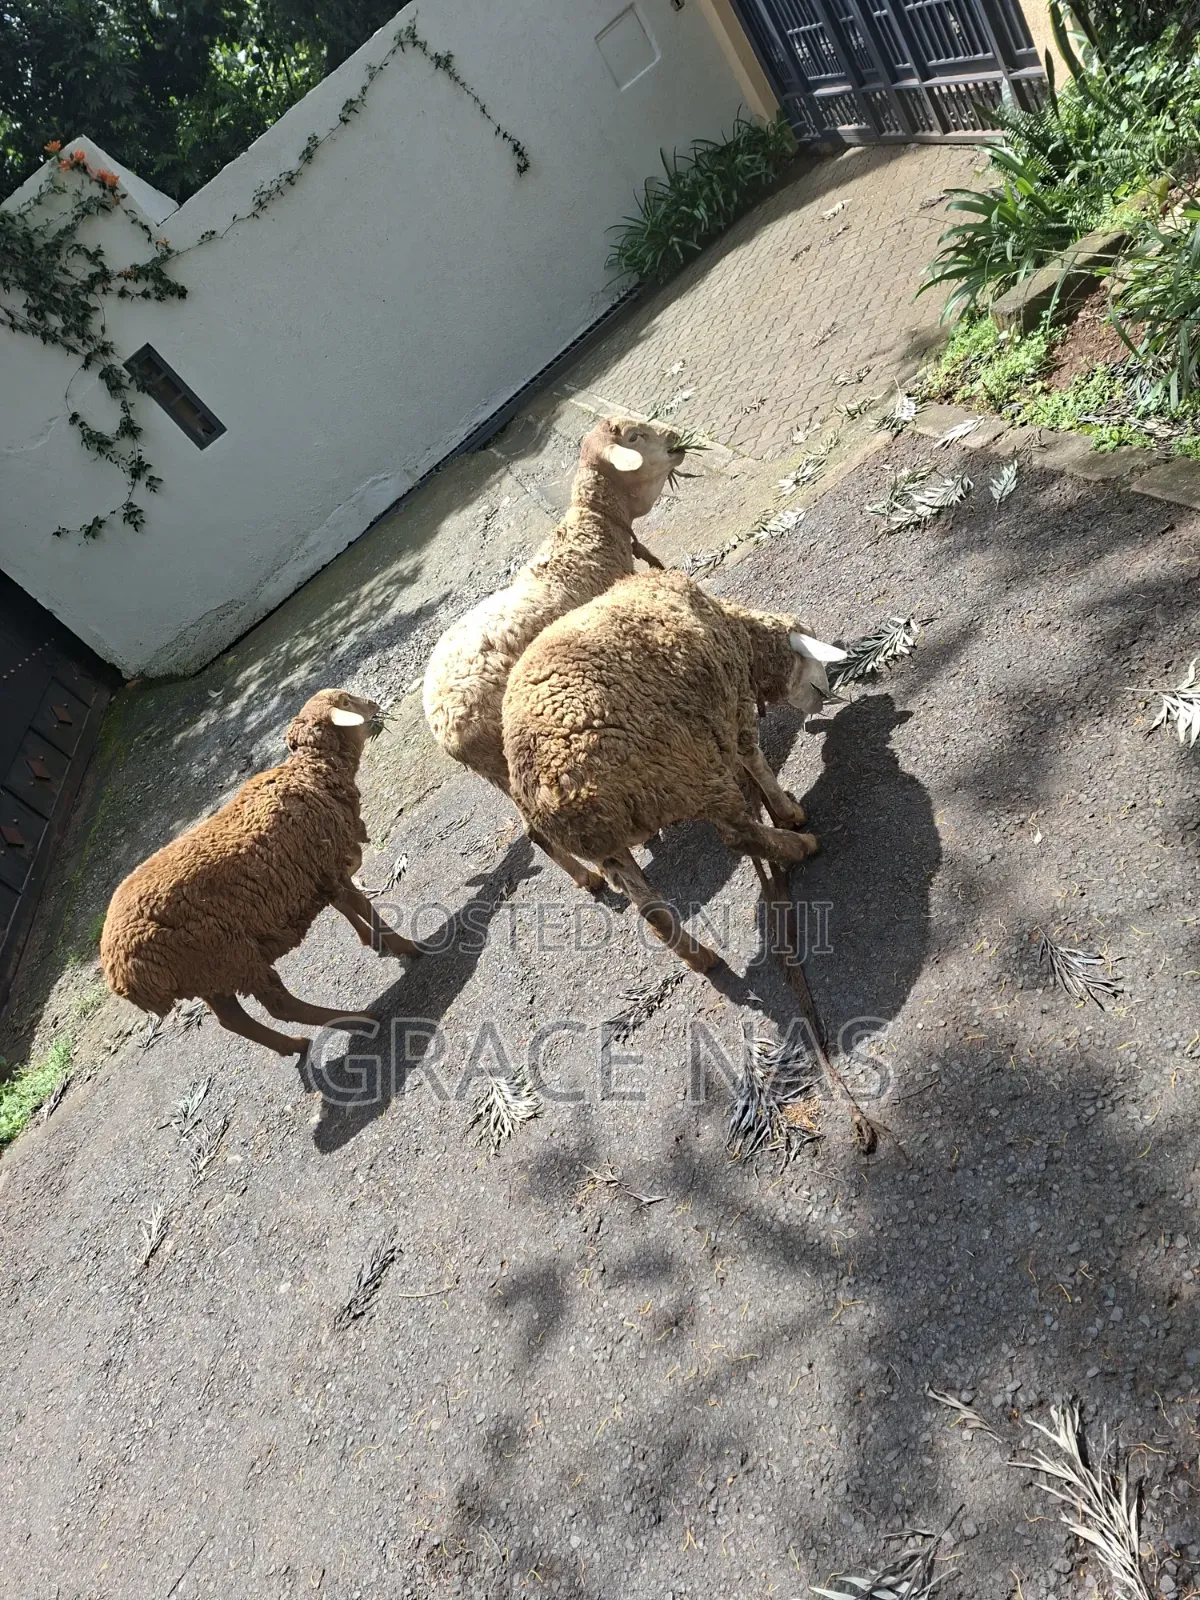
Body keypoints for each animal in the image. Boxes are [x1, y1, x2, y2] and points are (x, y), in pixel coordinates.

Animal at [100, 689, 420, 1058]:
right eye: (347, 702)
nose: (375, 705)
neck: (310, 775)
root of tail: (119, 971)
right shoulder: (326, 863)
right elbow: (362, 906)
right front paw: (406, 946)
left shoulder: (316, 873)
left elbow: (345, 905)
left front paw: (372, 941)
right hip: (228, 955)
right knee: (278, 1006)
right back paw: (359, 1020)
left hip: (208, 971)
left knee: (233, 1020)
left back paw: (291, 1045)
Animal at [422, 414, 684, 892]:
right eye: (635, 437)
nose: (677, 439)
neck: (586, 541)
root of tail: (444, 725)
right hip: (503, 753)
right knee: (535, 831)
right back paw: (593, 878)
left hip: (497, 769)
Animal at [501, 569, 846, 973]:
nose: (829, 696)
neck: (741, 640)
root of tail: (548, 794)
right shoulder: (733, 707)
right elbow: (755, 761)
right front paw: (788, 812)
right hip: (685, 774)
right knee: (738, 835)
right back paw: (799, 847)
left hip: (610, 846)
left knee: (651, 910)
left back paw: (700, 958)